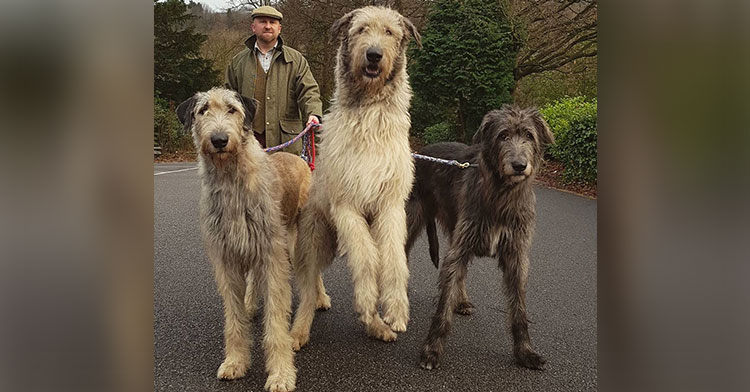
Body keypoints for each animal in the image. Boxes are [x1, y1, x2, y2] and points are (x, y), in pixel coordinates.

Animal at [290, 6, 420, 350]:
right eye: (361, 29)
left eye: (389, 32)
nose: (373, 55)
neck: (370, 113)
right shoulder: (346, 205)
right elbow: (366, 257)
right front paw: (367, 300)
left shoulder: (391, 204)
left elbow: (393, 258)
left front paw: (395, 308)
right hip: (315, 237)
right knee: (308, 285)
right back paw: (299, 331)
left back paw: (377, 327)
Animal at [408, 105, 556, 370]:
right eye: (503, 136)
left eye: (529, 136)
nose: (519, 165)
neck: (501, 194)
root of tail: (423, 150)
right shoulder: (462, 245)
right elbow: (443, 305)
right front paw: (432, 349)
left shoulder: (516, 254)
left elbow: (519, 308)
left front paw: (525, 352)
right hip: (413, 215)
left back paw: (461, 300)